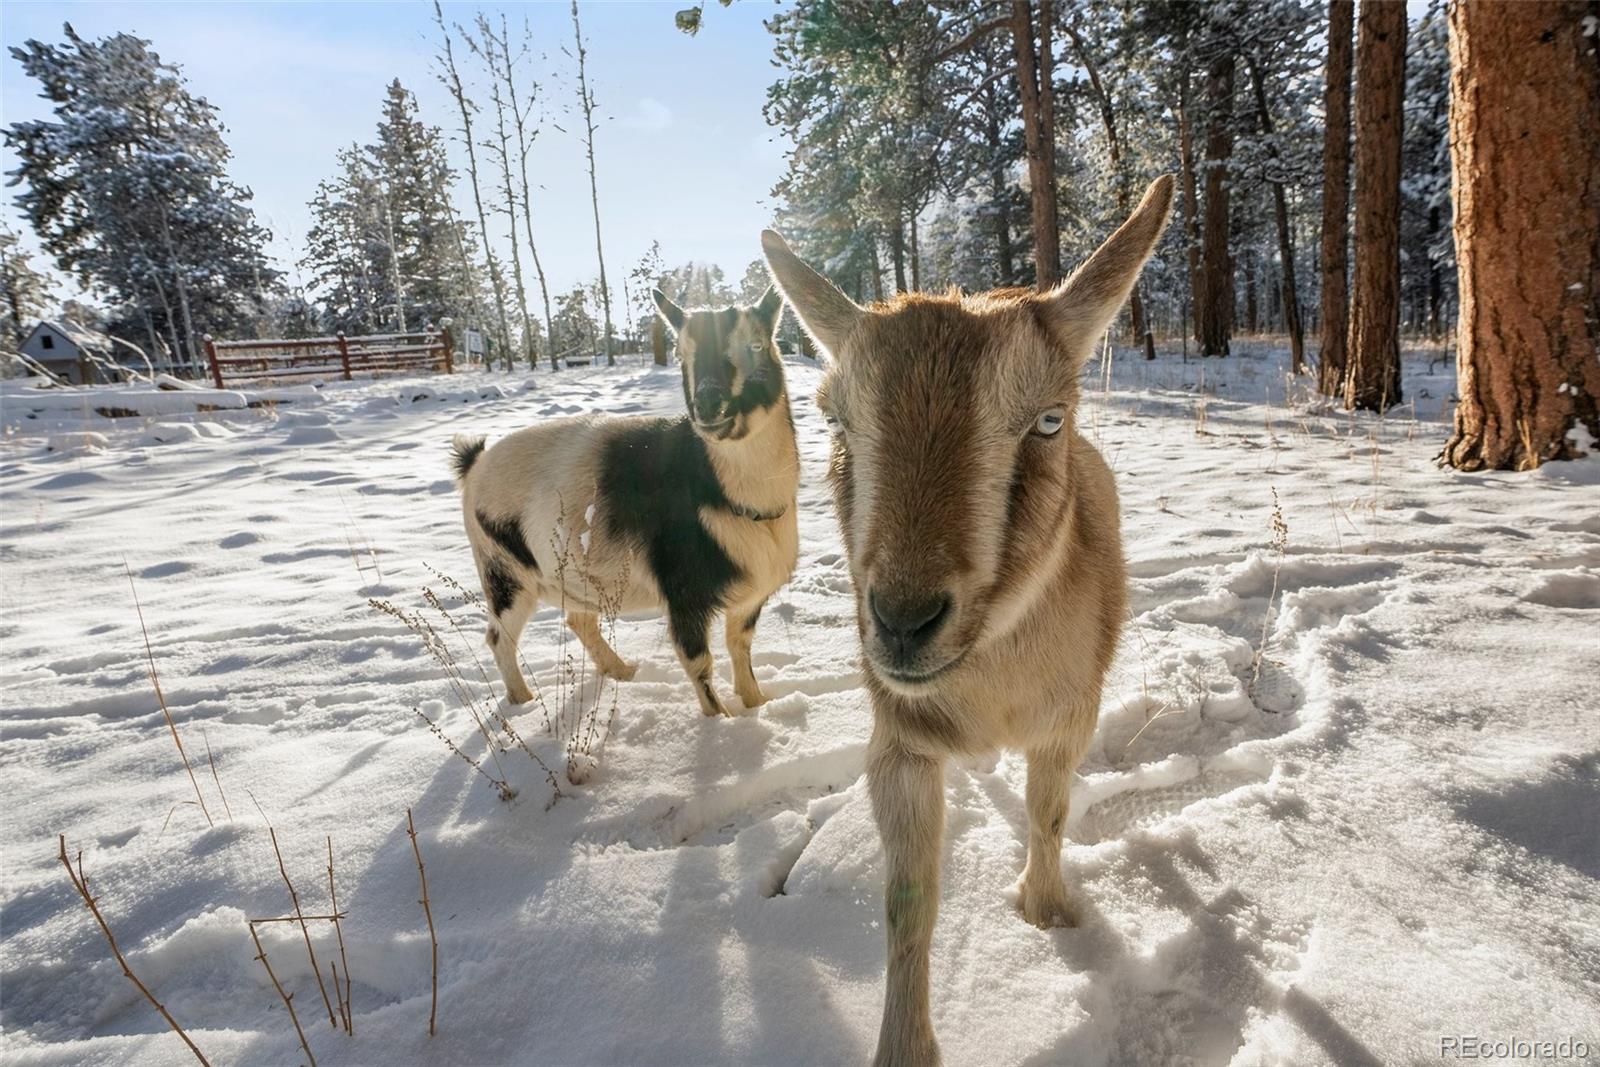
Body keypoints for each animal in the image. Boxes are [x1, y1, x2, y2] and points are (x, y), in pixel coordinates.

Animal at [451, 283, 800, 716]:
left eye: (757, 345)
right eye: (680, 354)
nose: (707, 405)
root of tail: (474, 463)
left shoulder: (749, 596)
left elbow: (741, 648)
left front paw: (757, 705)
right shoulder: (682, 595)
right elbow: (699, 663)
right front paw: (721, 723)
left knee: (579, 621)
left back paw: (622, 671)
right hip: (504, 571)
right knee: (500, 637)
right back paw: (523, 703)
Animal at [761, 179, 1177, 1062]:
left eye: (1049, 419)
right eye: (834, 421)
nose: (902, 620)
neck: (995, 690)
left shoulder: (1069, 719)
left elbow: (1049, 813)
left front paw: (1046, 913)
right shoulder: (901, 738)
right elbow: (908, 899)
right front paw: (904, 1046)